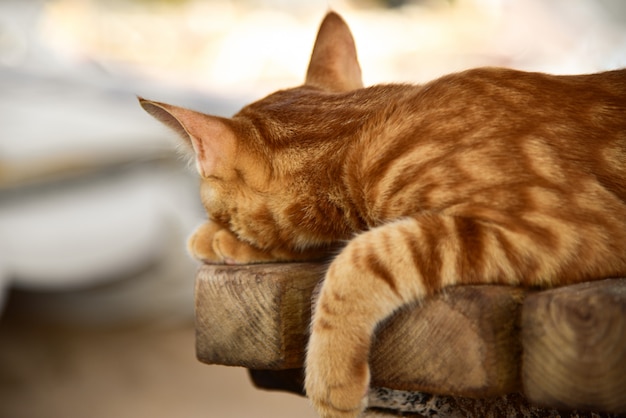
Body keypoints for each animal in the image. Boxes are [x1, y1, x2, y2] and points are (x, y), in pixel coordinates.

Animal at [138, 11, 624, 416]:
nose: (216, 229)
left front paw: (330, 378)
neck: (359, 132)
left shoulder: (564, 225)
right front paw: (214, 238)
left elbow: (360, 257)